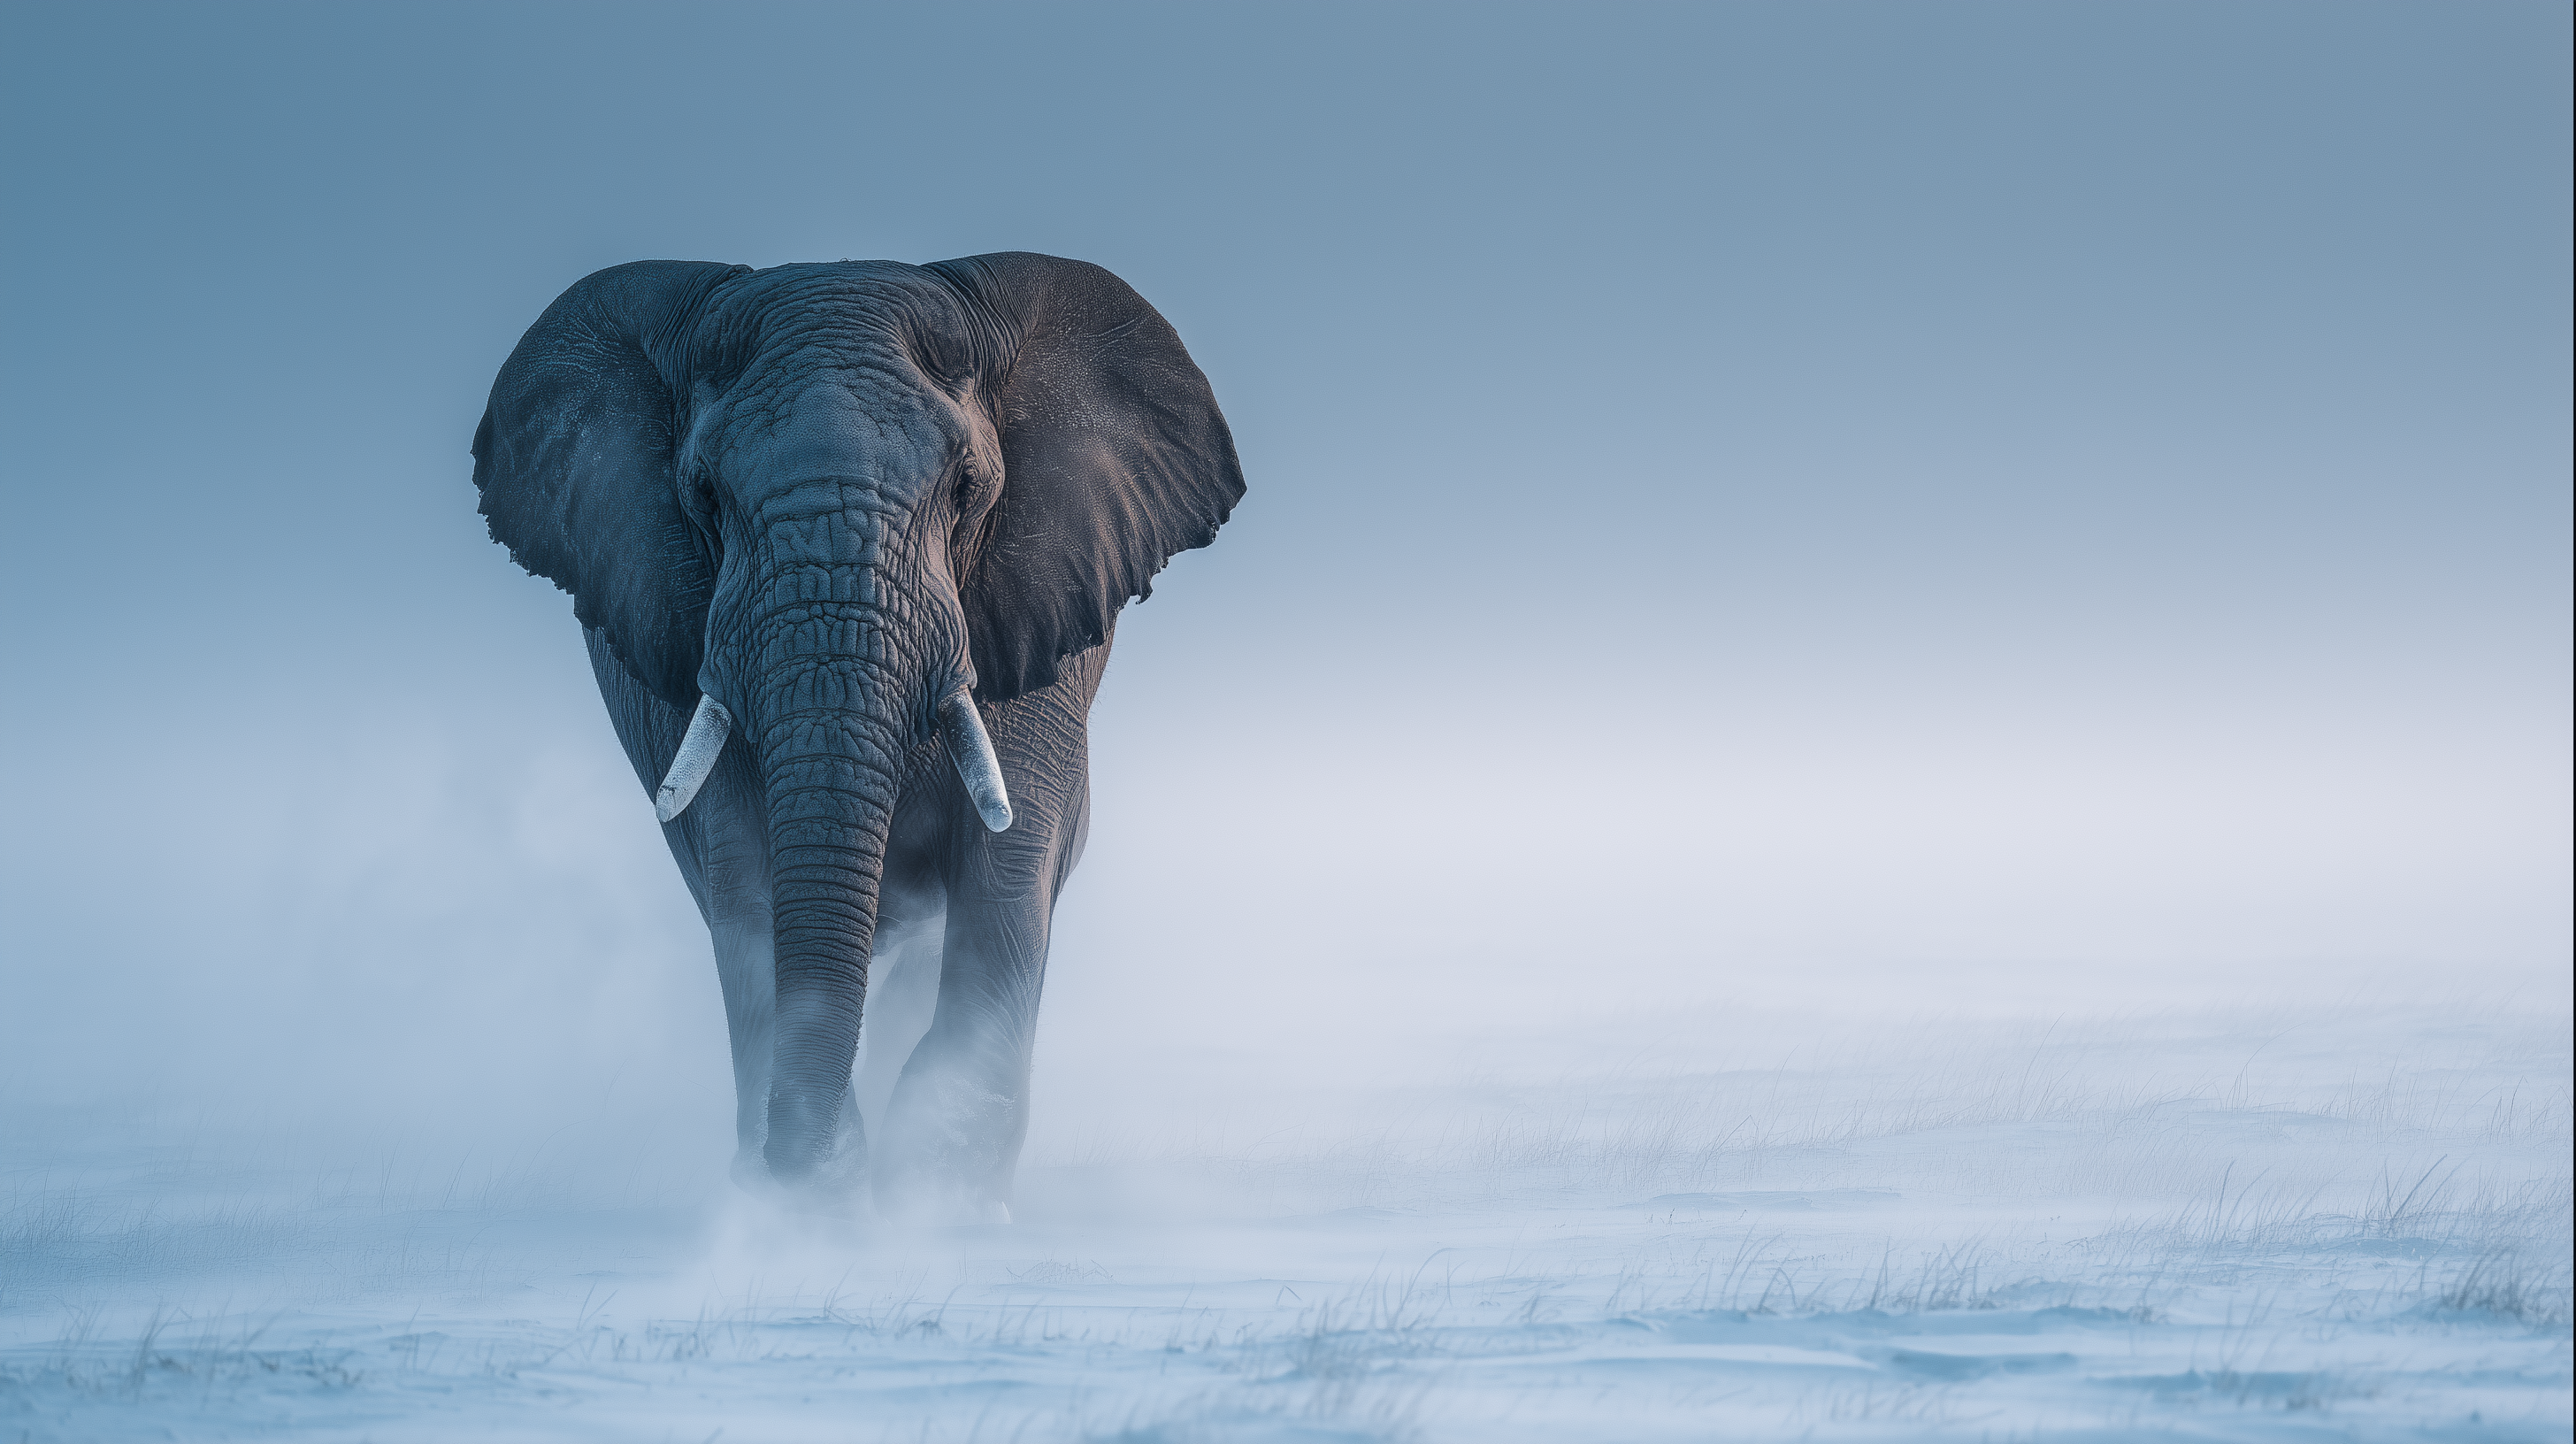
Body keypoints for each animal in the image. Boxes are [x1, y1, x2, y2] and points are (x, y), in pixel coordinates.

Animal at [471, 253, 1244, 1220]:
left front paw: (942, 1203)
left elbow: (1011, 849)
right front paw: (812, 1205)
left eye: (965, 491)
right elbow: (744, 876)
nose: (789, 1170)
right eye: (704, 496)